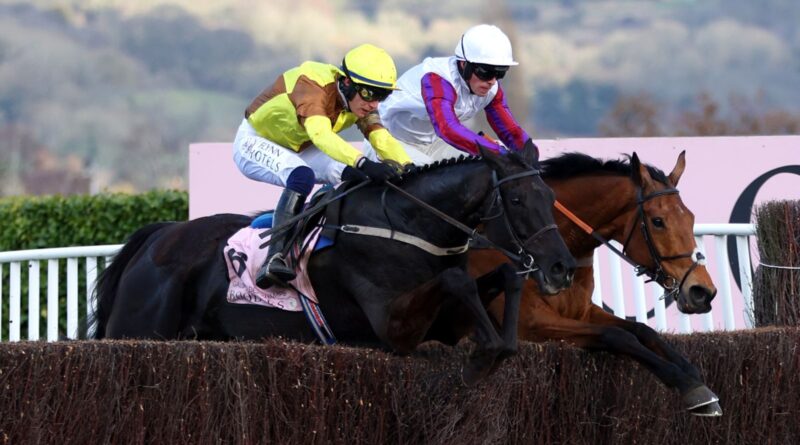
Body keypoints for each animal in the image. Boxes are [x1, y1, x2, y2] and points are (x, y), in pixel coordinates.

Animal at [92, 141, 576, 382]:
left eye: (550, 196)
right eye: (517, 200)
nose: (561, 268)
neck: (408, 222)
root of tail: (159, 235)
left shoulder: (443, 326)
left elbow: (506, 276)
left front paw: (499, 346)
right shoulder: (394, 327)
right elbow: (459, 279)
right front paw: (481, 361)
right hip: (137, 332)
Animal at [434, 151, 720, 414]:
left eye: (691, 218)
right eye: (657, 221)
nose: (702, 292)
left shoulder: (582, 311)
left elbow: (643, 330)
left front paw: (694, 375)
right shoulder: (532, 323)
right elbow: (618, 335)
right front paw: (687, 384)